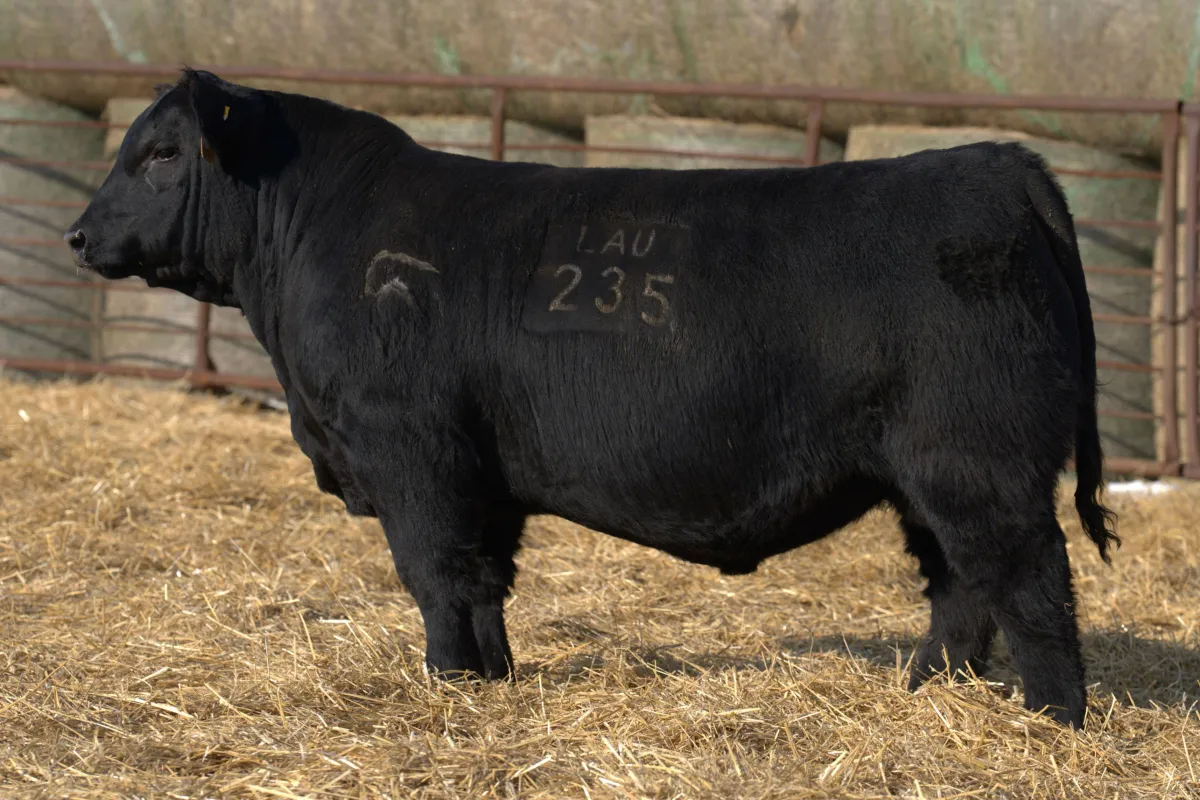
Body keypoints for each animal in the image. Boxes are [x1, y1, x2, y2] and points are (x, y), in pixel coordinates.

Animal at [65, 69, 1117, 729]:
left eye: (161, 154)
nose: (77, 234)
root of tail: (997, 161)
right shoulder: (482, 480)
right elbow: (484, 586)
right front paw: (491, 683)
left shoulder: (413, 457)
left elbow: (437, 579)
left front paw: (447, 688)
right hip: (926, 474)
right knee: (960, 588)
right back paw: (925, 694)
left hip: (978, 461)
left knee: (1029, 583)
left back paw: (1051, 722)